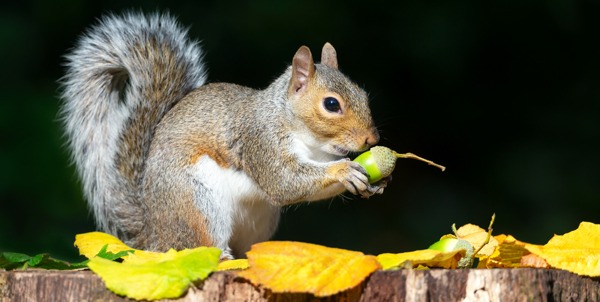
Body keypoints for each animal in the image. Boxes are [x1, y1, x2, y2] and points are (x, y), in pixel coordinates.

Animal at [61, 10, 386, 258]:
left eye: (362, 93)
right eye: (331, 104)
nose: (372, 140)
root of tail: (154, 236)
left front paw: (373, 183)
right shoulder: (260, 140)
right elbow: (284, 182)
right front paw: (343, 171)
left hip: (258, 221)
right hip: (198, 203)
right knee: (199, 246)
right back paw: (222, 258)